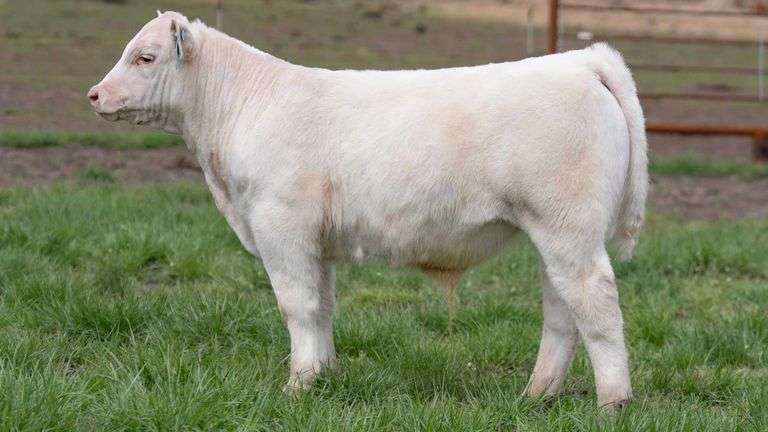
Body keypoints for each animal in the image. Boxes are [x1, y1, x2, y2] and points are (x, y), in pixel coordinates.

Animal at [88, 11, 647, 410]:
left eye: (145, 57)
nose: (95, 94)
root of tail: (578, 61)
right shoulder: (317, 242)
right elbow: (322, 306)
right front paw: (323, 376)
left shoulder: (280, 226)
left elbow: (296, 305)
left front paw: (296, 388)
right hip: (553, 233)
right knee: (562, 310)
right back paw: (537, 394)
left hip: (567, 229)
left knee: (595, 302)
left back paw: (612, 402)